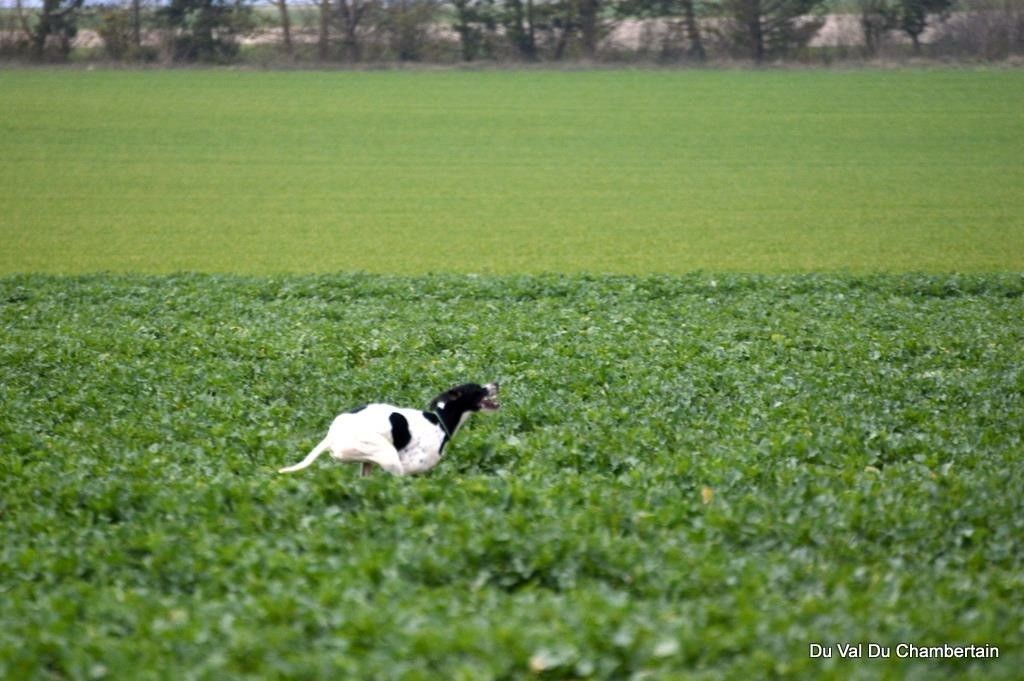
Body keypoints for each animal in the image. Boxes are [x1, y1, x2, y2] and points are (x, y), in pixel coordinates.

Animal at [276, 378, 499, 475]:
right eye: (477, 389)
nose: (496, 383)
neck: (439, 419)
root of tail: (332, 435)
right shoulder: (411, 468)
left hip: (369, 462)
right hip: (387, 455)